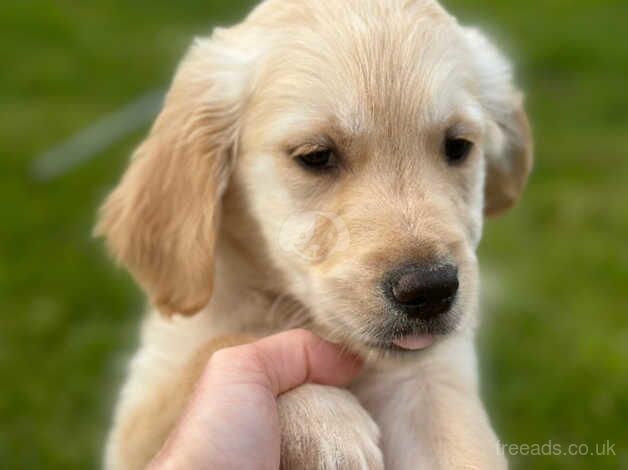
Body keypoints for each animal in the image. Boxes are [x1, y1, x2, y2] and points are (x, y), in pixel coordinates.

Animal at [97, 0, 528, 466]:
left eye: (458, 146)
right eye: (316, 156)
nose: (431, 290)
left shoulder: (430, 384)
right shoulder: (138, 416)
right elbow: (219, 350)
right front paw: (325, 425)